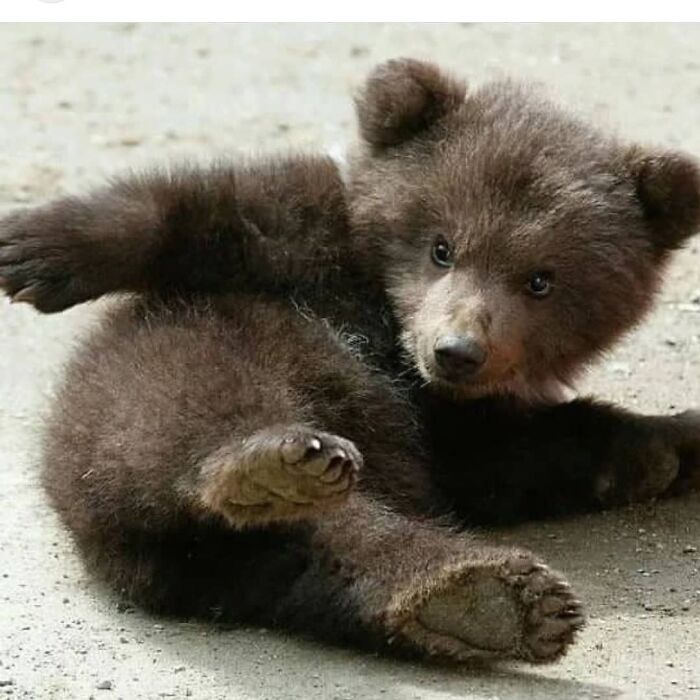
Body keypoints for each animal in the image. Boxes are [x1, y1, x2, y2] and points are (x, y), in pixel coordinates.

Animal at [1, 58, 700, 665]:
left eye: (540, 280)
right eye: (441, 246)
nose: (456, 351)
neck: (388, 331)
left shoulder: (451, 426)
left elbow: (518, 451)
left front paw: (669, 445)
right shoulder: (307, 239)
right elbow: (213, 214)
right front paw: (34, 249)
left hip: (264, 551)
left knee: (337, 550)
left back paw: (485, 600)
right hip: (147, 385)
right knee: (194, 402)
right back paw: (271, 463)